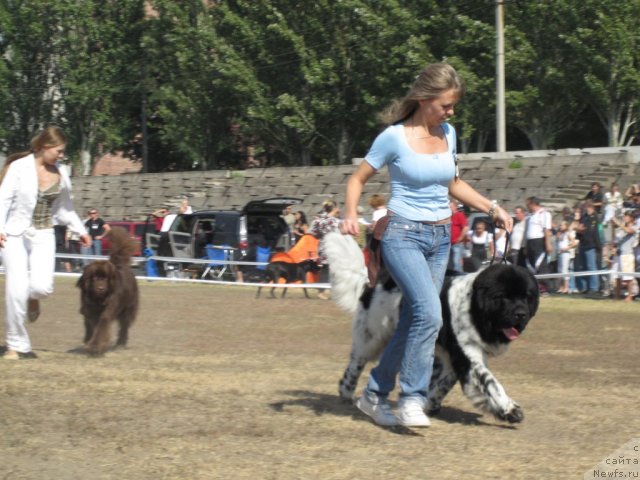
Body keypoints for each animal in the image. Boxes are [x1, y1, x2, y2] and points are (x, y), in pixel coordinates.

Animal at [324, 232, 540, 424]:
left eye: (526, 296)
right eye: (504, 296)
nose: (521, 314)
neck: (474, 307)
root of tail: (374, 280)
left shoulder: (454, 358)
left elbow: (444, 384)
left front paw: (429, 404)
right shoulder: (468, 354)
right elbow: (490, 382)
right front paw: (510, 409)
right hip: (373, 337)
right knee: (356, 363)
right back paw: (347, 392)